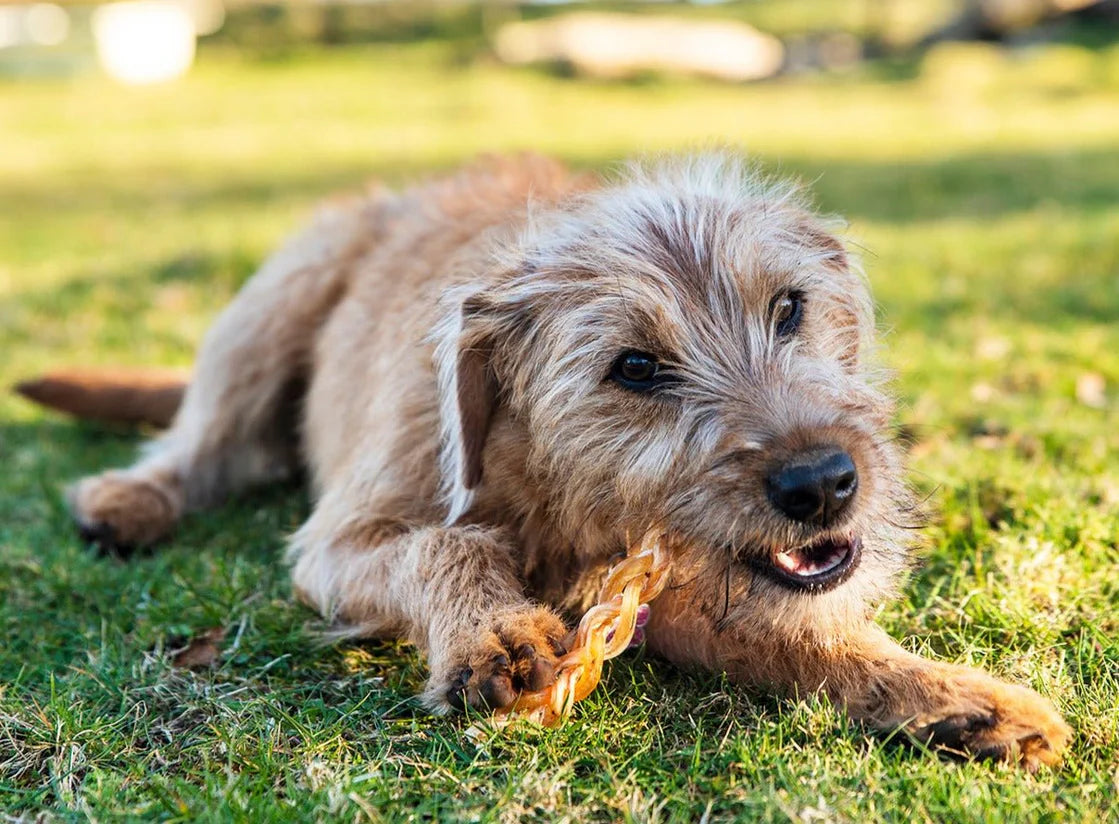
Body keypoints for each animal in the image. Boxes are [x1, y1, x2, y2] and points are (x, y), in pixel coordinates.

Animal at [24, 151, 1065, 770]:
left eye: (788, 309)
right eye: (634, 367)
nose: (822, 483)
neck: (559, 492)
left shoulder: (681, 594)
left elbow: (805, 636)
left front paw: (958, 698)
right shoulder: (342, 540)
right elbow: (442, 545)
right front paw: (493, 632)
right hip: (277, 300)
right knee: (202, 443)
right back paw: (132, 498)